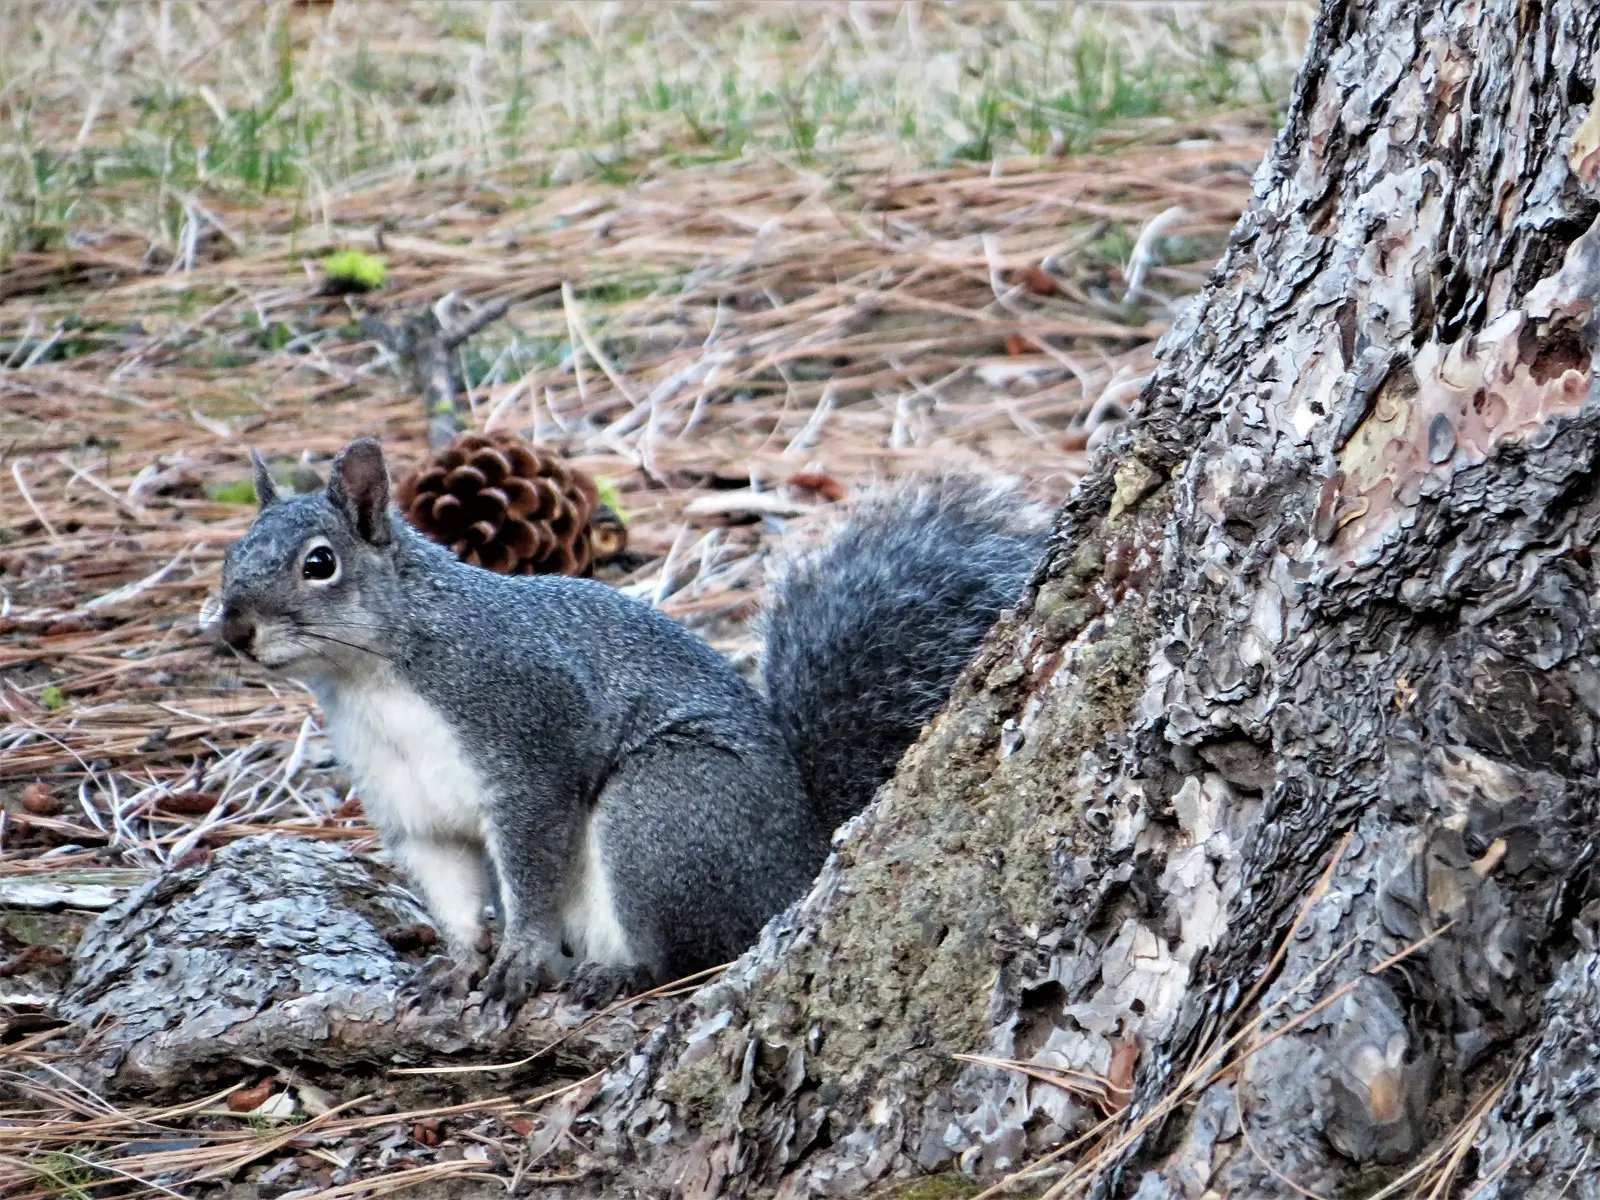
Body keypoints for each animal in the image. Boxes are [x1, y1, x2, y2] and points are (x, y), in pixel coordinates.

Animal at [216, 438, 1044, 1009]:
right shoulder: (412, 810)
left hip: (667, 808)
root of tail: (804, 860)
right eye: (230, 556)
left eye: (319, 563)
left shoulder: (529, 741)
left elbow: (533, 869)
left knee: (687, 951)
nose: (232, 628)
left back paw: (618, 975)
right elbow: (452, 893)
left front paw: (518, 959)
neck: (374, 683)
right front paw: (459, 966)